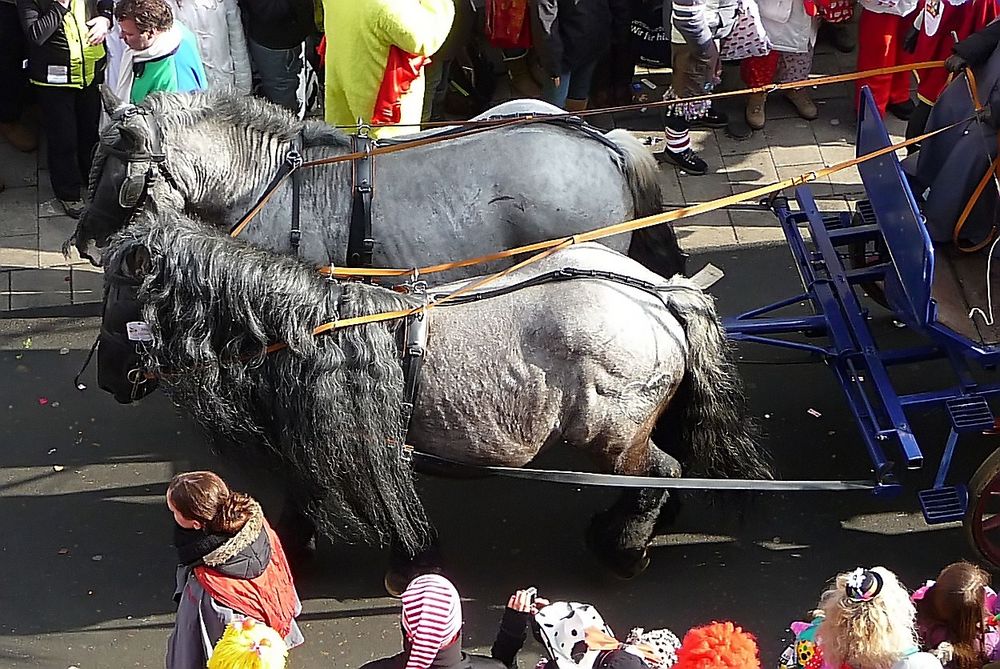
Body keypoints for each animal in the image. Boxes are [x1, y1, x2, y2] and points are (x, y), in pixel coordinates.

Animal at [97, 210, 768, 584]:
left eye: (123, 295)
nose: (106, 381)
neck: (315, 331)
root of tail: (660, 294)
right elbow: (307, 498)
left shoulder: (346, 448)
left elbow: (360, 501)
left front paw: (403, 562)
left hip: (610, 435)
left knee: (657, 472)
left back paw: (622, 548)